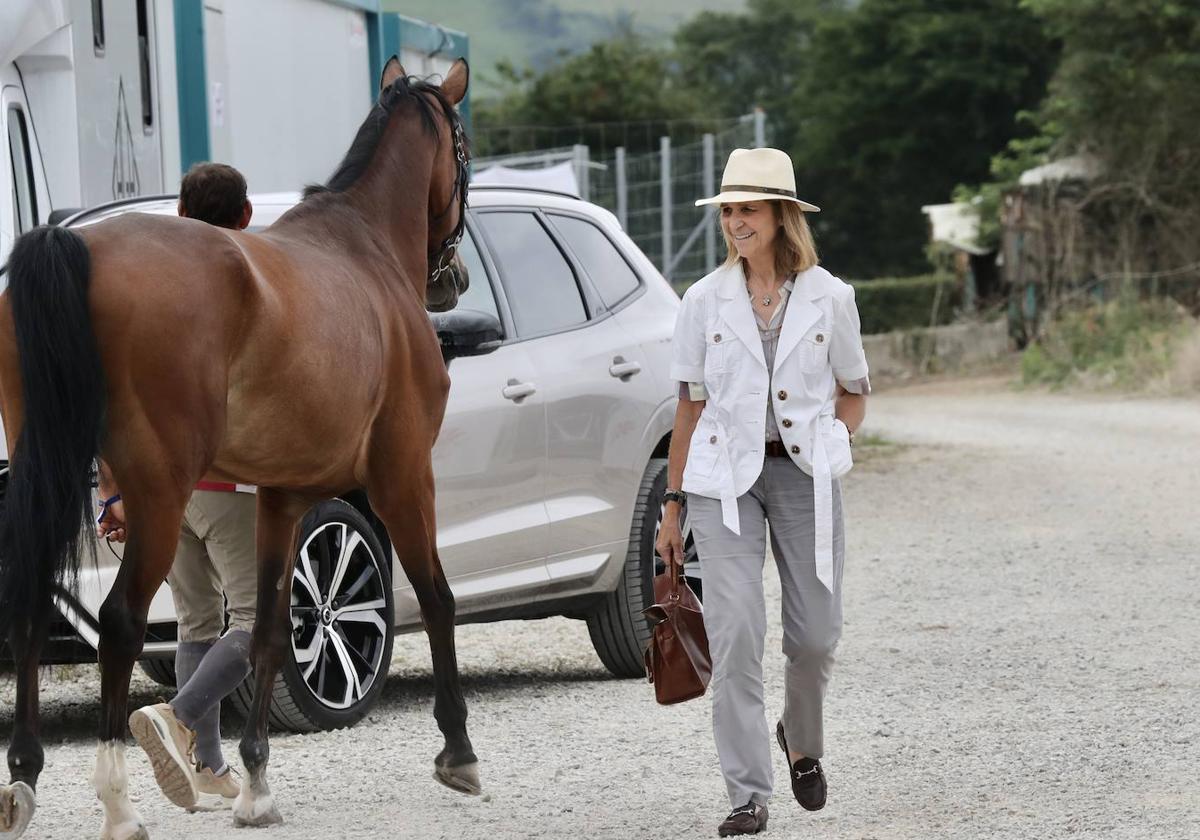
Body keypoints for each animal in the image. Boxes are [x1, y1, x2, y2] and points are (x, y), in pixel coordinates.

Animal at [0, 55, 477, 835]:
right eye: (464, 152)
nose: (453, 278)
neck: (365, 250)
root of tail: (76, 245)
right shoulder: (406, 476)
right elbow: (437, 596)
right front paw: (459, 752)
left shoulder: (281, 498)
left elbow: (268, 633)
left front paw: (255, 784)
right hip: (159, 494)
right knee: (121, 622)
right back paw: (117, 803)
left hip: (49, 472)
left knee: (33, 607)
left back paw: (25, 778)